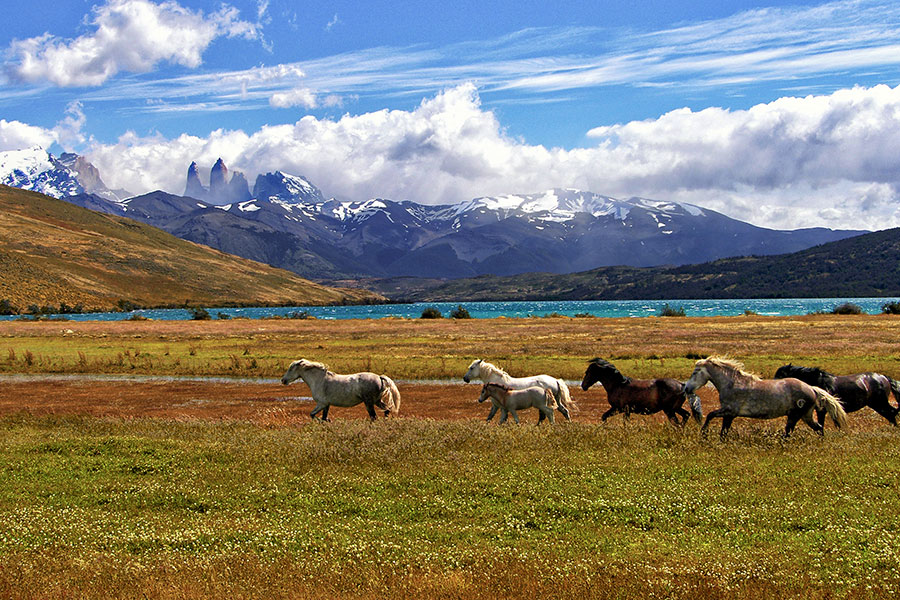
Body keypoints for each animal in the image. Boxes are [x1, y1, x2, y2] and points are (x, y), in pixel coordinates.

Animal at [684, 357, 847, 438]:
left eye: (695, 372)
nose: (686, 388)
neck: (732, 384)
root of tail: (811, 388)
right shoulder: (729, 415)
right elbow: (723, 430)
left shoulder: (729, 411)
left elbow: (710, 416)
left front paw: (703, 433)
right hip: (805, 415)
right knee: (818, 428)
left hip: (795, 416)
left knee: (789, 432)